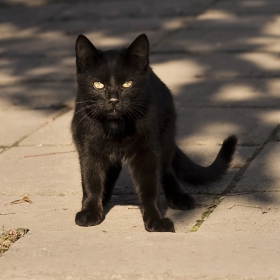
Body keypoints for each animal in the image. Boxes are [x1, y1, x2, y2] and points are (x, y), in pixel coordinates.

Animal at [70, 34, 236, 233]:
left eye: (127, 84)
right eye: (98, 85)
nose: (113, 100)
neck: (116, 126)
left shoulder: (148, 151)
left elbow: (150, 187)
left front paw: (156, 221)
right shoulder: (88, 149)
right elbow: (91, 181)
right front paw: (90, 211)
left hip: (165, 137)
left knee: (167, 169)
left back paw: (178, 197)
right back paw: (105, 197)